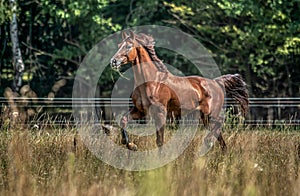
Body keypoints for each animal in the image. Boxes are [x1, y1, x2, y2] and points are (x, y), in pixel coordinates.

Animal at [110, 30, 248, 152]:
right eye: (118, 45)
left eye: (129, 46)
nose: (113, 62)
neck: (151, 82)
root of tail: (216, 82)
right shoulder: (140, 111)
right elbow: (123, 121)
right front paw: (131, 145)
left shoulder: (160, 113)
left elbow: (160, 141)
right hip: (205, 117)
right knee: (219, 135)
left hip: (210, 113)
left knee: (219, 123)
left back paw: (208, 142)